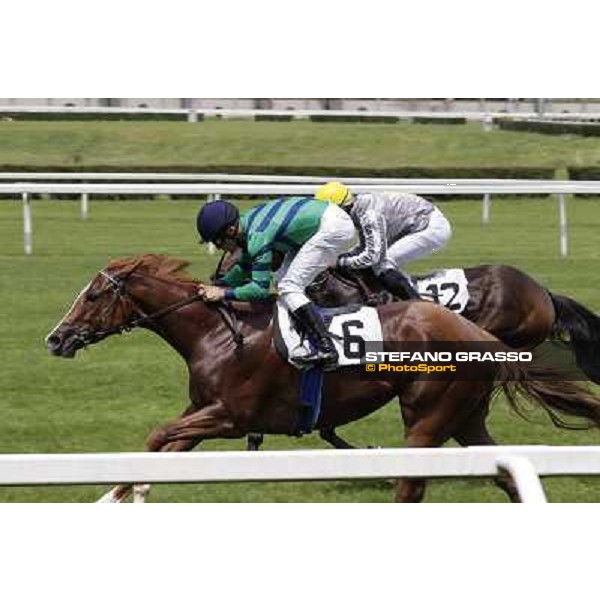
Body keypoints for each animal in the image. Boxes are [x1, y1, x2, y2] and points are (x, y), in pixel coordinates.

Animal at [47, 255, 600, 504]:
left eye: (93, 296)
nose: (56, 338)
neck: (217, 332)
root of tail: (480, 336)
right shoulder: (202, 412)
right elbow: (166, 446)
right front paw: (114, 496)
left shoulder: (231, 416)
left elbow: (157, 436)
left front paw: (128, 493)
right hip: (465, 417)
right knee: (500, 470)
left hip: (428, 413)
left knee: (411, 482)